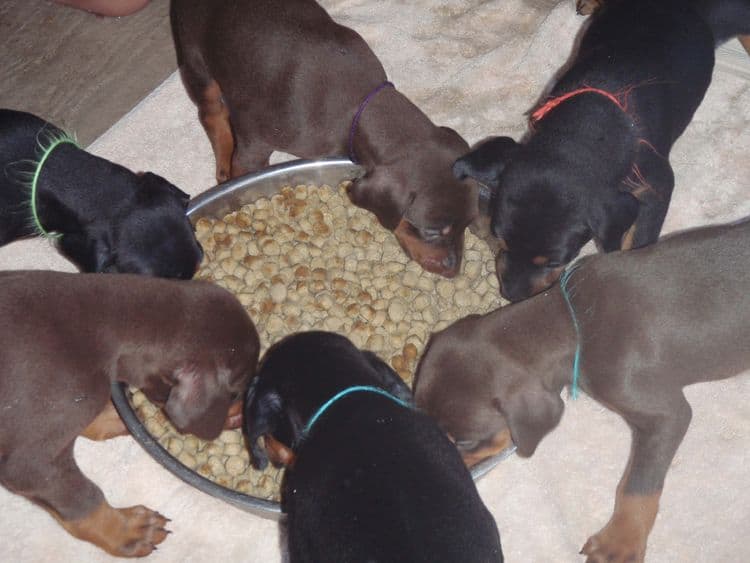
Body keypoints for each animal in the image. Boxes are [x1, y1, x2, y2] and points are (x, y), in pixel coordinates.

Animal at [0, 270, 262, 556]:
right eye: (235, 393)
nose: (246, 413)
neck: (100, 323)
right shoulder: (32, 463)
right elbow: (84, 500)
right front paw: (127, 531)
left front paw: (123, 417)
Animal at [169, 0, 476, 278]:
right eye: (431, 231)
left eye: (467, 224)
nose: (454, 270)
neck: (359, 105)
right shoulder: (253, 147)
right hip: (194, 57)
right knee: (212, 112)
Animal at [452, 1, 750, 304]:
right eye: (500, 239)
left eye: (555, 261)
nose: (512, 296)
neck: (581, 130)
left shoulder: (656, 182)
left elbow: (640, 238)